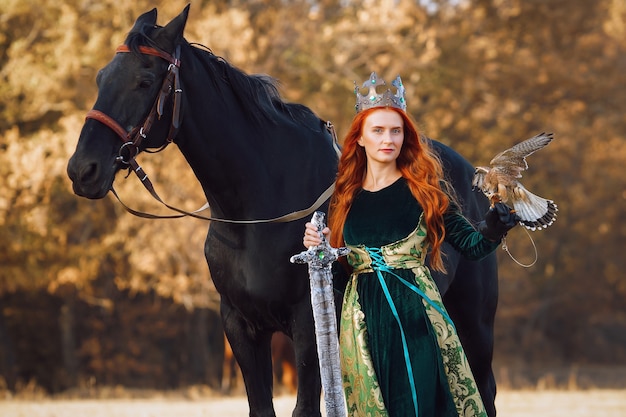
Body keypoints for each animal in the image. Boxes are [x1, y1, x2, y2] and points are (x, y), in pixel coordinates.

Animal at [66, 6, 498, 416]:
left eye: (144, 80)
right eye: (102, 77)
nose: (82, 170)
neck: (255, 213)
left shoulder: (308, 326)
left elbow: (304, 408)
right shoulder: (240, 326)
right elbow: (261, 407)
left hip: (474, 326)